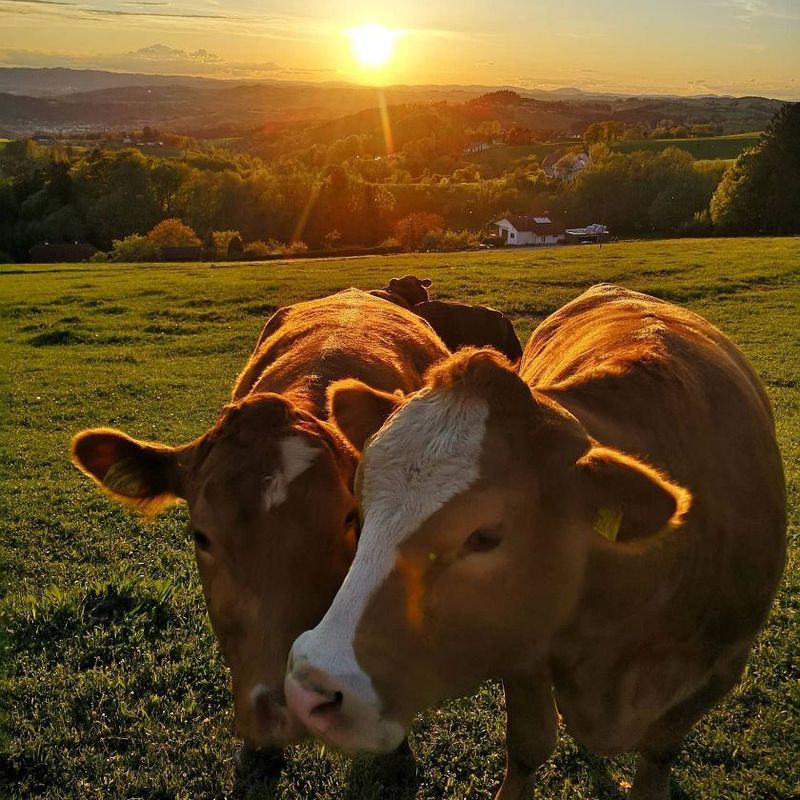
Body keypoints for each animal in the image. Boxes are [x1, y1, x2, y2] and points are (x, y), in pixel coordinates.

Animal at [284, 286, 784, 800]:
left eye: (485, 537)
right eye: (361, 513)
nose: (311, 687)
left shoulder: (720, 668)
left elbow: (658, 753)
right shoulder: (524, 655)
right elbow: (528, 744)